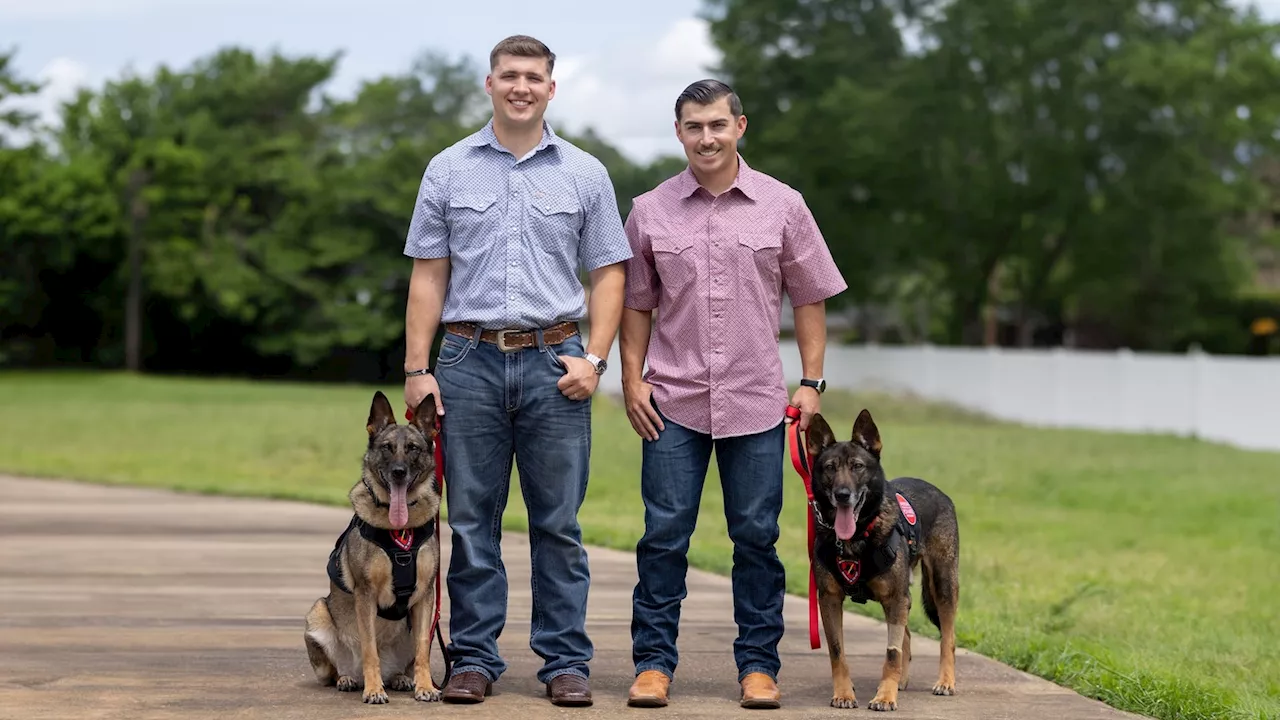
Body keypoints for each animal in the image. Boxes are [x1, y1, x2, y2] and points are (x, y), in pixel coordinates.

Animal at [303, 392, 445, 702]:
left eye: (413, 448)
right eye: (387, 448)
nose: (399, 472)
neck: (399, 529)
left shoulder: (425, 596)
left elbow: (423, 649)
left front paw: (425, 687)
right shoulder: (365, 595)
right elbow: (370, 649)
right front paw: (373, 690)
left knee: (403, 663)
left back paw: (400, 678)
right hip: (318, 612)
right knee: (336, 671)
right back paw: (349, 679)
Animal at [803, 407, 957, 707]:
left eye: (857, 466)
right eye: (830, 467)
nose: (842, 495)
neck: (856, 537)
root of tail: (938, 491)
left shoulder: (896, 598)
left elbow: (891, 652)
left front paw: (885, 697)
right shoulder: (830, 599)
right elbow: (837, 651)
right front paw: (844, 693)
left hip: (942, 585)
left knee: (948, 638)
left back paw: (945, 682)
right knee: (907, 635)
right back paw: (902, 680)